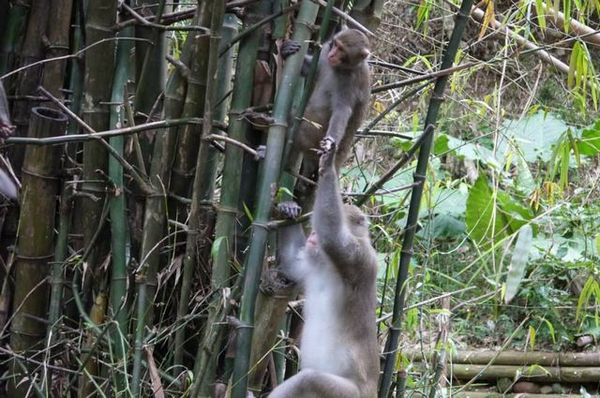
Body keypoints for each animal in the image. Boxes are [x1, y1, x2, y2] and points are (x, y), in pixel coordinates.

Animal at [270, 138, 380, 398]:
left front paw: (327, 166)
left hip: (350, 394)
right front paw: (288, 208)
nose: (312, 236)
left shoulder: (358, 258)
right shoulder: (312, 266)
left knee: (308, 380)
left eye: (316, 233)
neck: (326, 264)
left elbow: (332, 236)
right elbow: (292, 264)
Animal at [282, 28, 370, 190]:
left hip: (312, 139)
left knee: (295, 128)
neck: (342, 67)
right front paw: (286, 49)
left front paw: (330, 143)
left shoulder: (352, 82)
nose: (333, 54)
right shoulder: (323, 56)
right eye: (335, 44)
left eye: (341, 49)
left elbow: (342, 111)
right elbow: (310, 69)